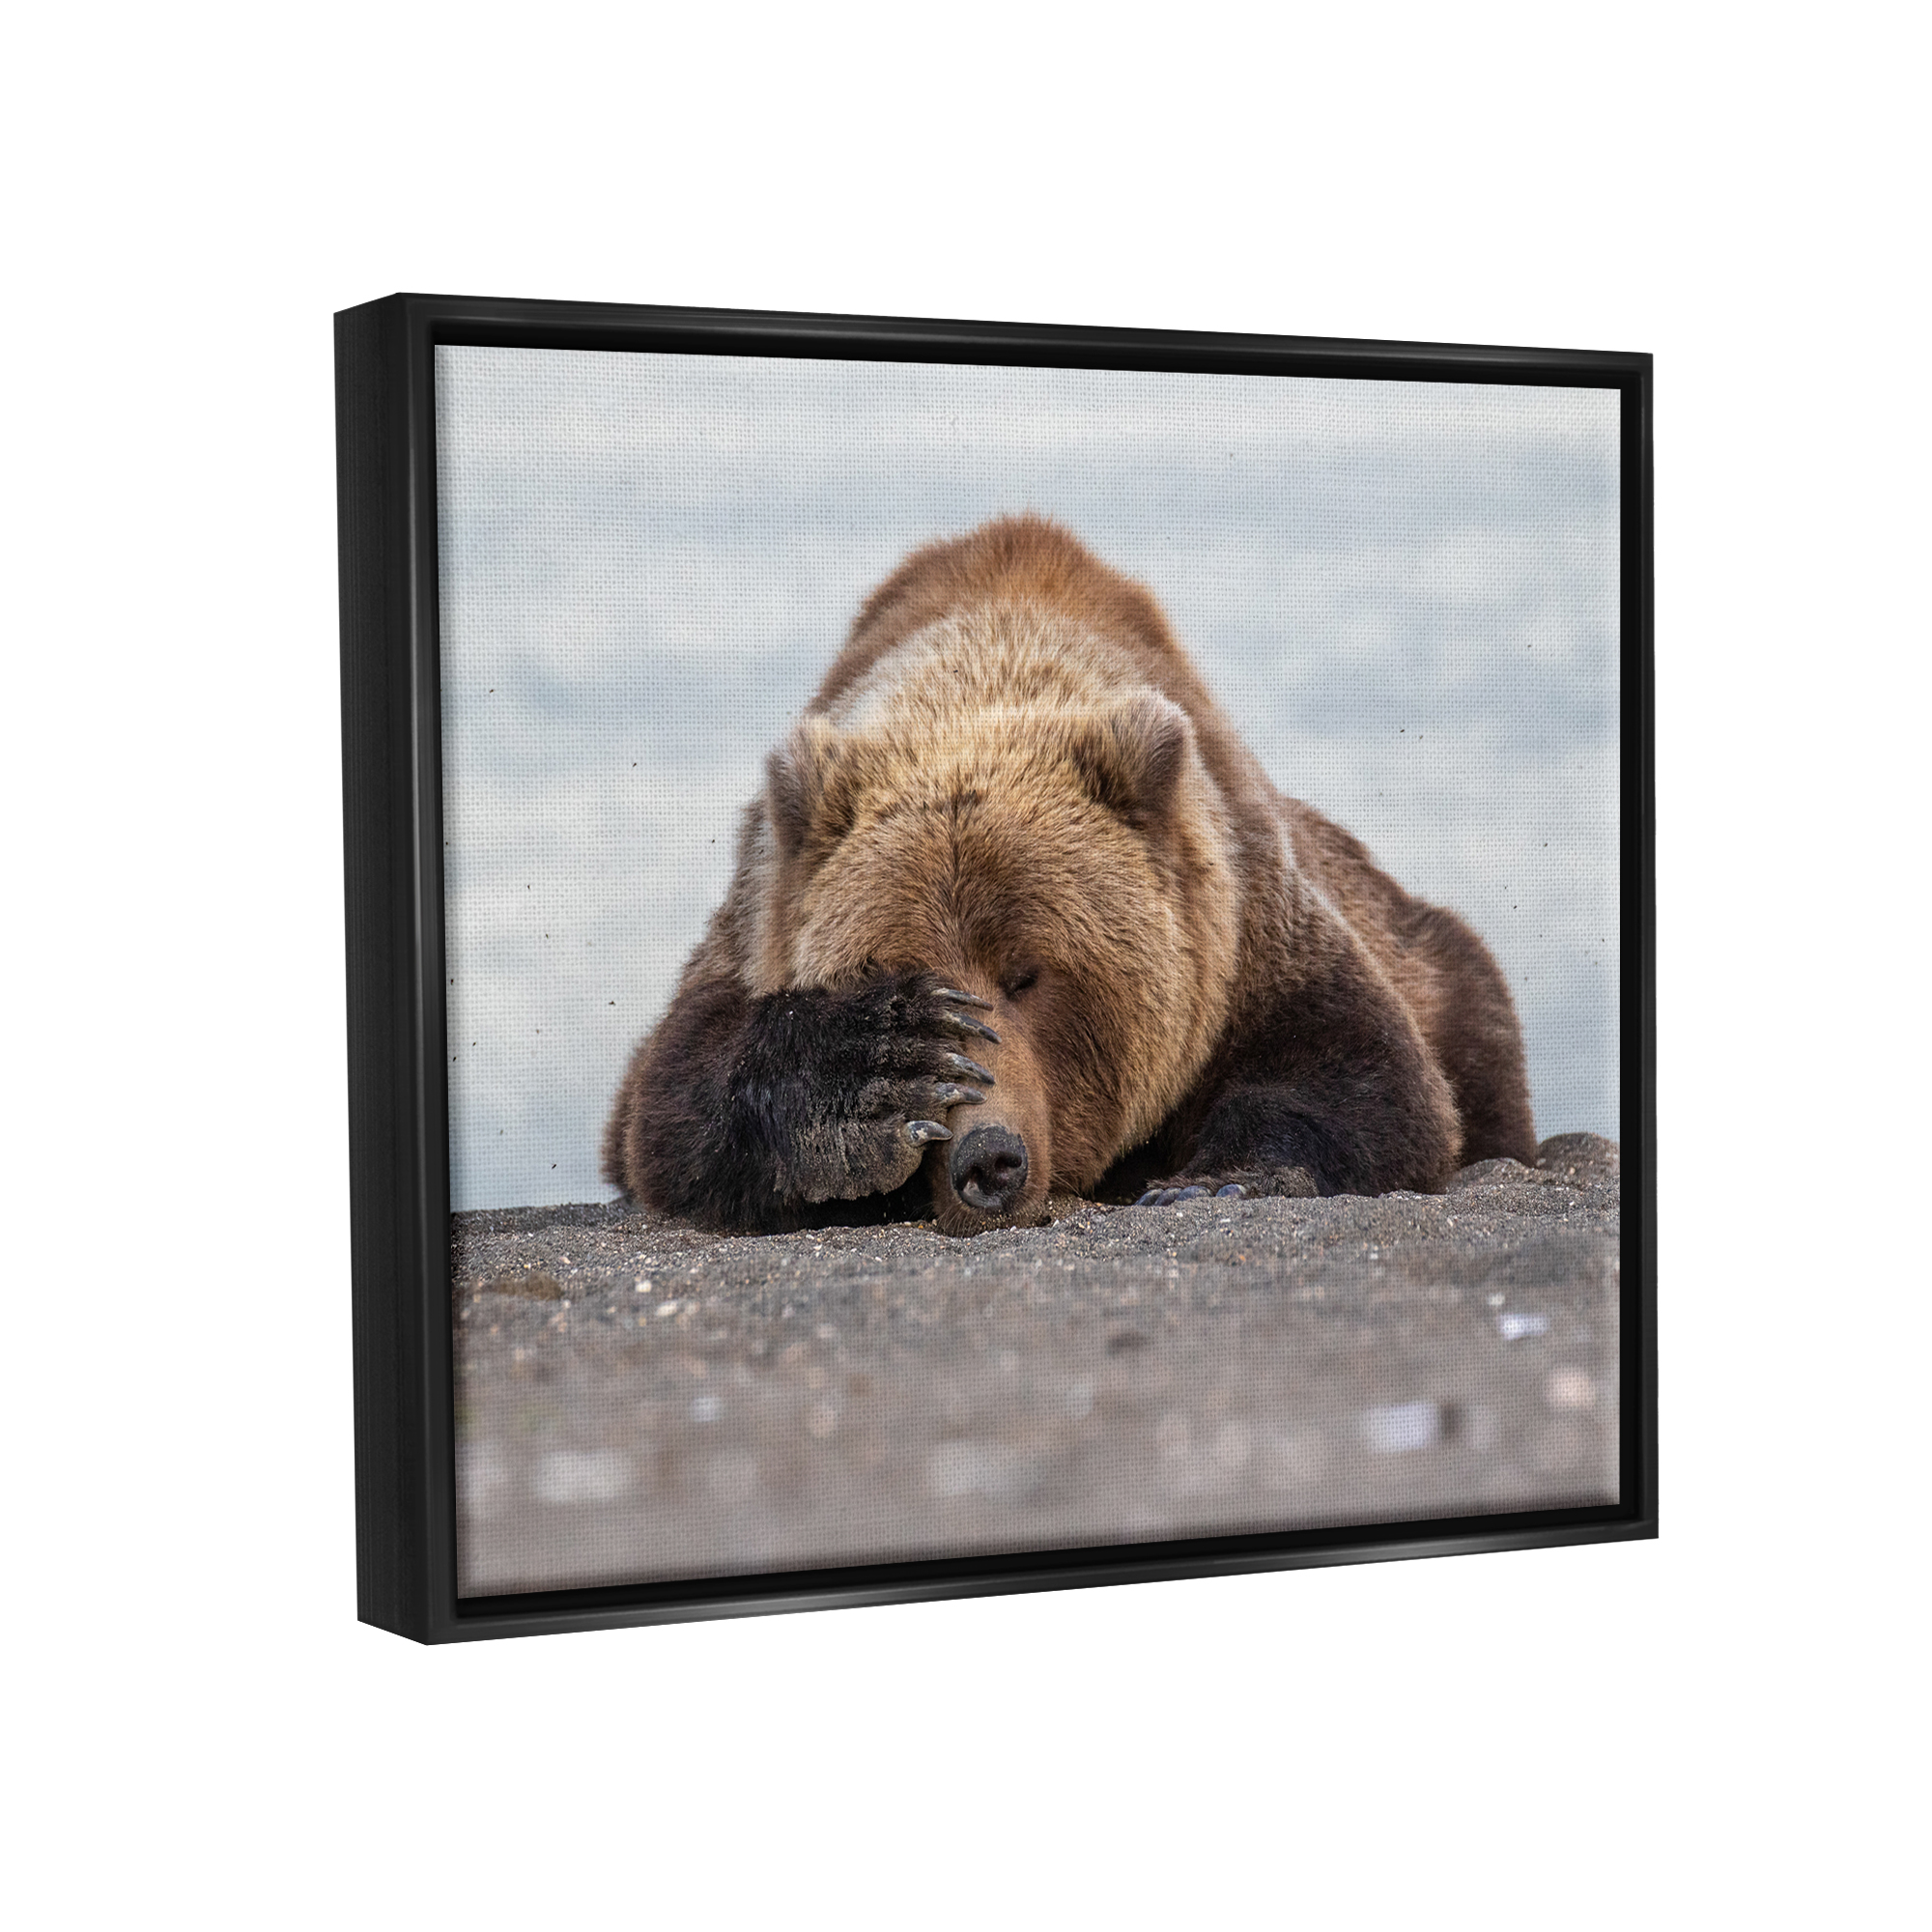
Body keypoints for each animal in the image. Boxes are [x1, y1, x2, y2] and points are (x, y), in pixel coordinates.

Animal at [602, 514, 1537, 1237]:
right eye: (894, 969)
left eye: (1030, 974)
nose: (988, 1158)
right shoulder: (760, 912)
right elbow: (670, 1096)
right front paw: (874, 1078)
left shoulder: (1240, 925)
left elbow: (1364, 1070)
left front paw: (1216, 1178)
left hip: (1431, 956)